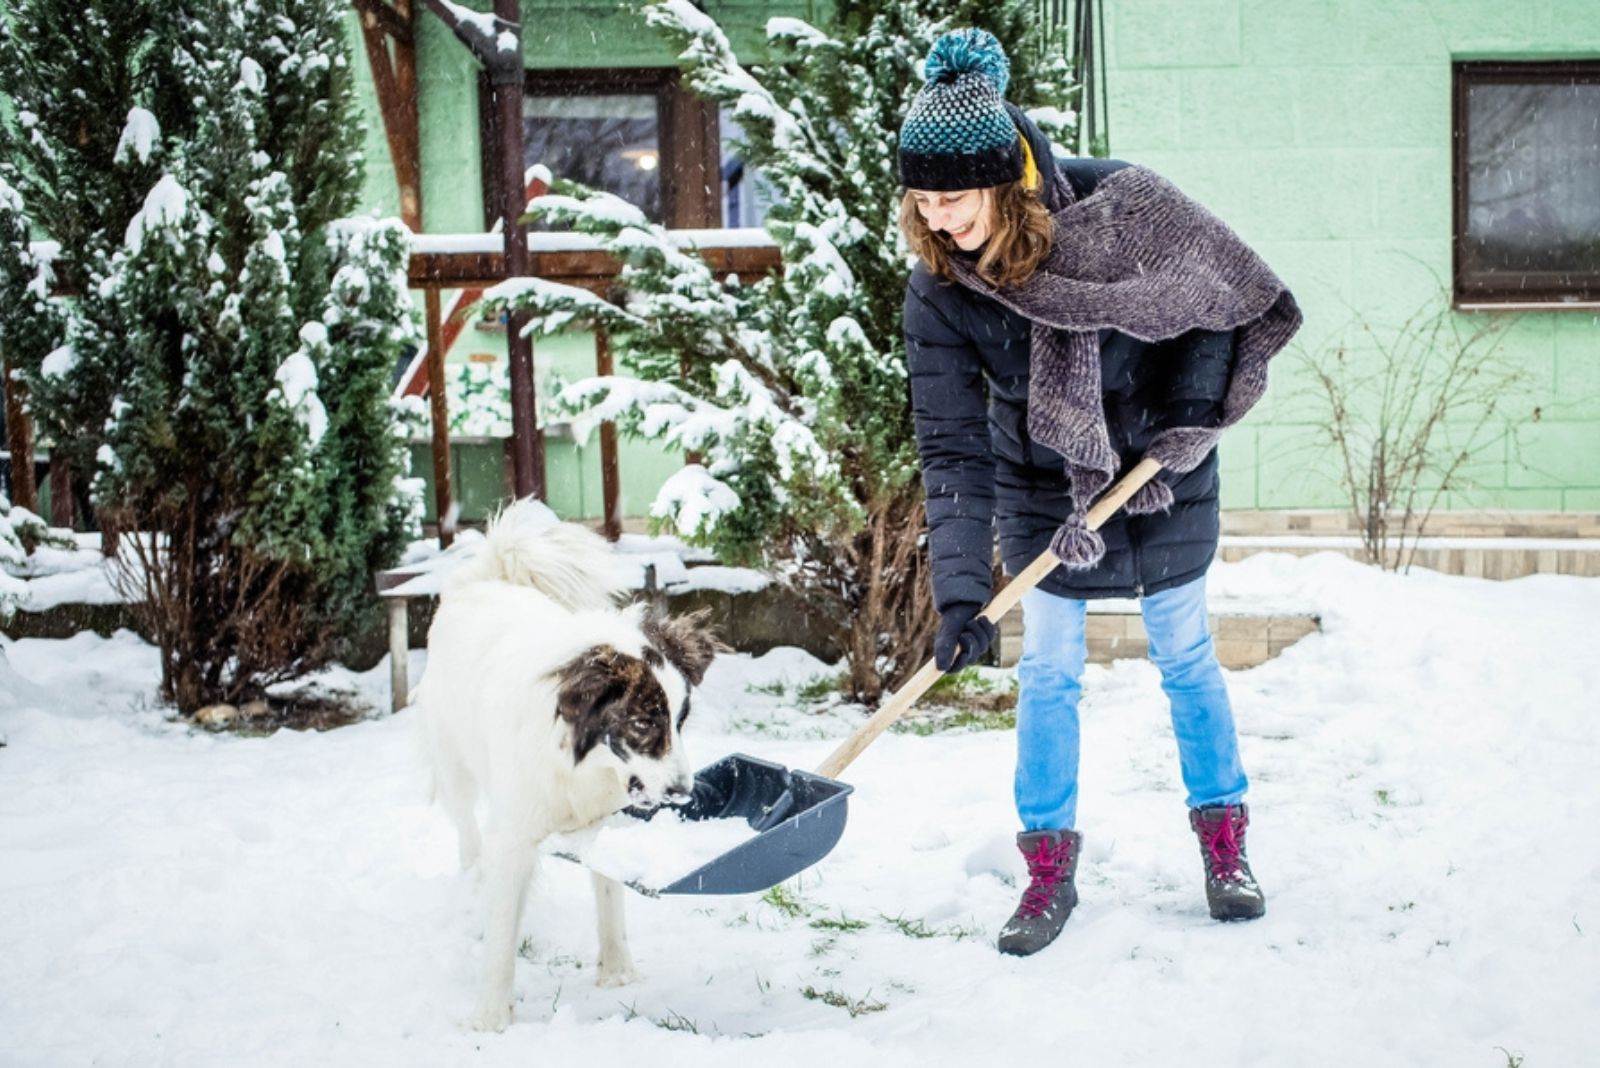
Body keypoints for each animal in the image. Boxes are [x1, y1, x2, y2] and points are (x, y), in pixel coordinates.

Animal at [412, 505, 720, 1029]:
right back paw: (472, 889)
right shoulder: (513, 837)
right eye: (642, 722)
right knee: (468, 835)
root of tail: (487, 577)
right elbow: (501, 934)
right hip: (454, 766)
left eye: (681, 721)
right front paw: (491, 1018)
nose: (683, 791)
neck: (581, 767)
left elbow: (610, 895)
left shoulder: (606, 823)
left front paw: (617, 974)